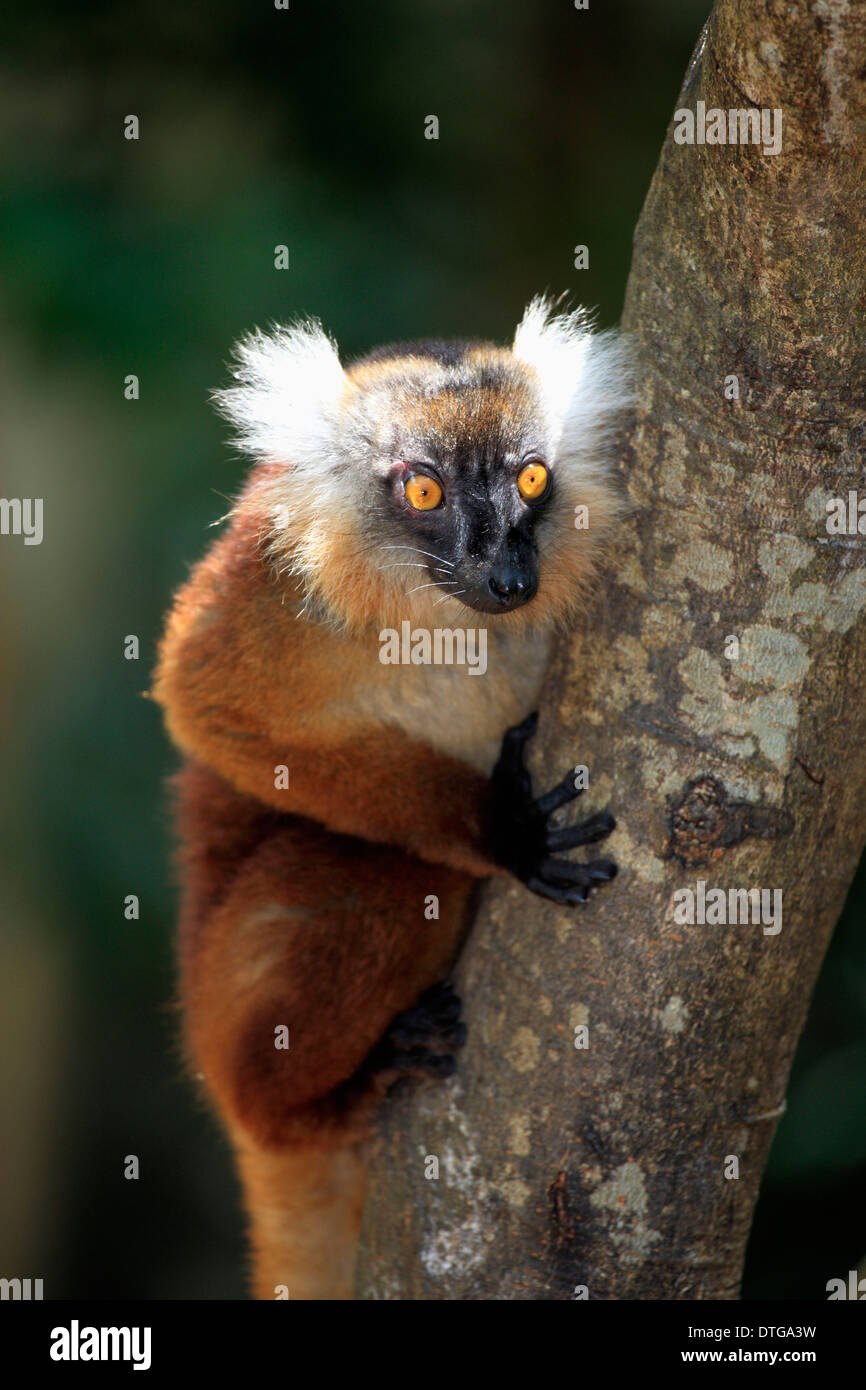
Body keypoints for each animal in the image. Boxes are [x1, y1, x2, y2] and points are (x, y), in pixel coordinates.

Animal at [153, 295, 631, 1300]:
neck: (439, 617)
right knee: (389, 878)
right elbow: (206, 707)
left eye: (533, 479)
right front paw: (499, 827)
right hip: (225, 1006)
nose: (509, 579)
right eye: (424, 493)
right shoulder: (275, 582)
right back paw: (335, 1095)